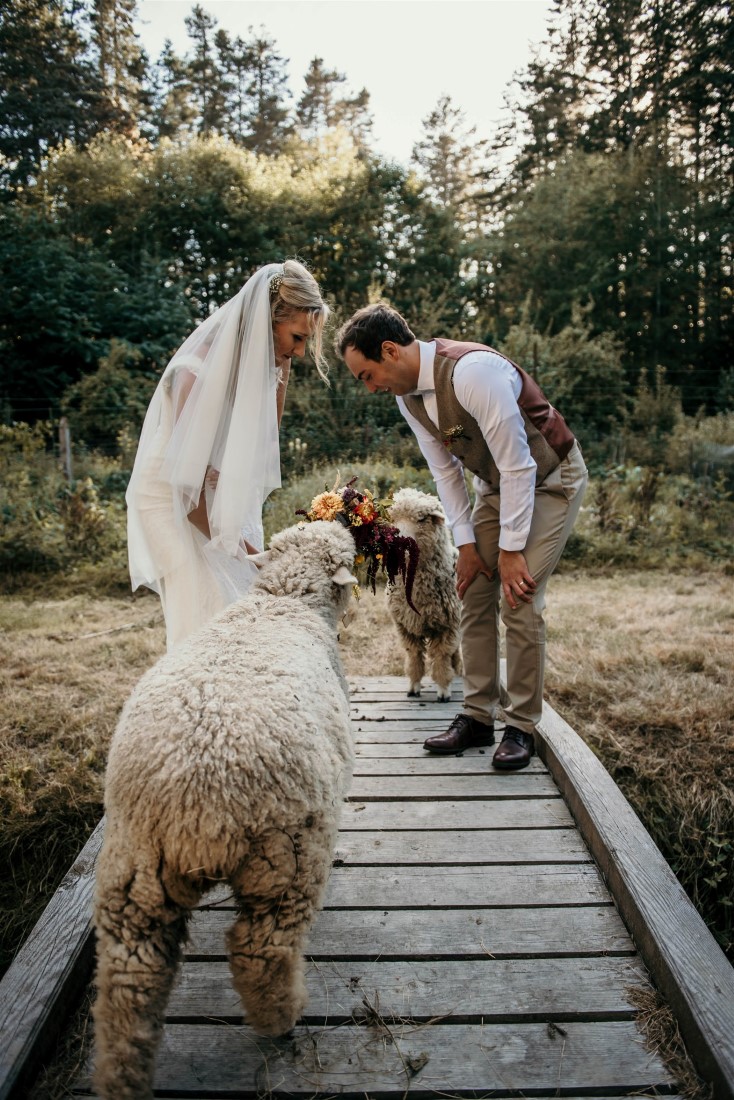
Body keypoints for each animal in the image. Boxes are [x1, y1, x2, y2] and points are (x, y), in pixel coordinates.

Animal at [92, 519, 358, 1095]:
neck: (283, 602)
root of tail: (195, 808)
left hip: (131, 875)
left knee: (128, 984)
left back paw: (122, 1076)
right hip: (285, 857)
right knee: (259, 950)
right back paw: (283, 1020)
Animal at [387, 486, 462, 699]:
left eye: (421, 519)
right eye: (392, 517)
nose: (397, 543)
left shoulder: (447, 626)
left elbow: (442, 656)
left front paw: (444, 690)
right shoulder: (405, 627)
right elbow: (413, 656)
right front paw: (413, 686)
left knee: (455, 650)